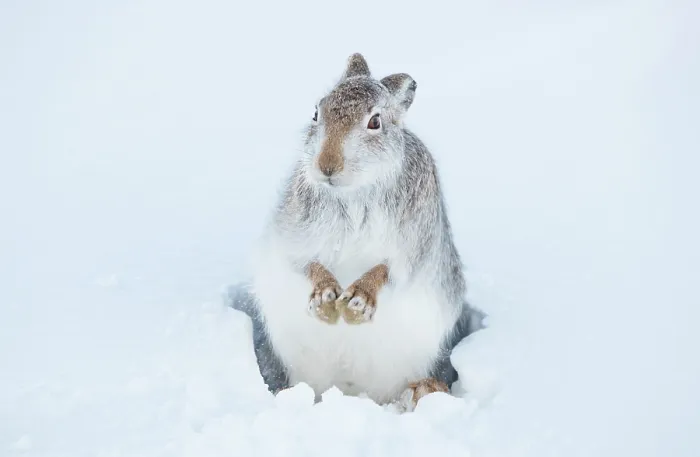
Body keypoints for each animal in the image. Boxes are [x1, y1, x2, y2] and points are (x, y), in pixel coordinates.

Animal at [232, 53, 482, 410]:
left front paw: (358, 303)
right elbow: (308, 264)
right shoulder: (294, 238)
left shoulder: (413, 245)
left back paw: (421, 392)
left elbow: (386, 270)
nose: (327, 165)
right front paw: (325, 299)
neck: (354, 191)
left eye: (375, 122)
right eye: (316, 113)